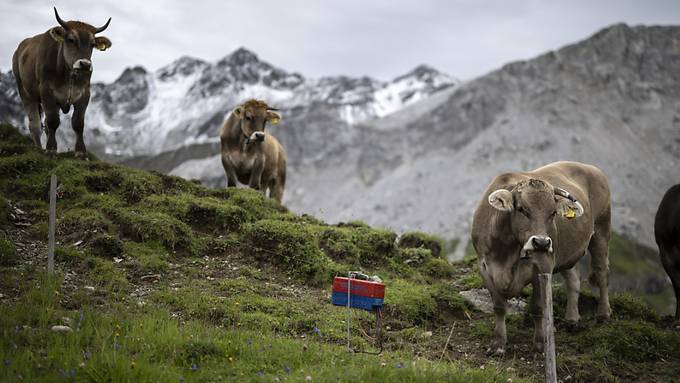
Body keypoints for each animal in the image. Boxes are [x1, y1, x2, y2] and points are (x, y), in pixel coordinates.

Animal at [11, 7, 112, 158]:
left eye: (93, 44)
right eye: (71, 39)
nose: (85, 64)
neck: (69, 75)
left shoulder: (85, 93)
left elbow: (78, 123)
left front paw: (81, 152)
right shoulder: (46, 91)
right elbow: (53, 121)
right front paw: (51, 149)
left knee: (45, 125)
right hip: (25, 92)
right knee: (35, 124)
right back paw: (39, 149)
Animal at [472, 162, 612, 356]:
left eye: (553, 213)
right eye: (521, 209)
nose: (542, 242)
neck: (505, 251)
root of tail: (590, 167)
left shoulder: (542, 266)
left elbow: (538, 307)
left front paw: (540, 344)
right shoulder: (484, 266)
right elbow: (499, 306)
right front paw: (498, 344)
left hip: (601, 230)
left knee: (601, 272)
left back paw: (603, 314)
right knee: (573, 279)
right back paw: (572, 319)